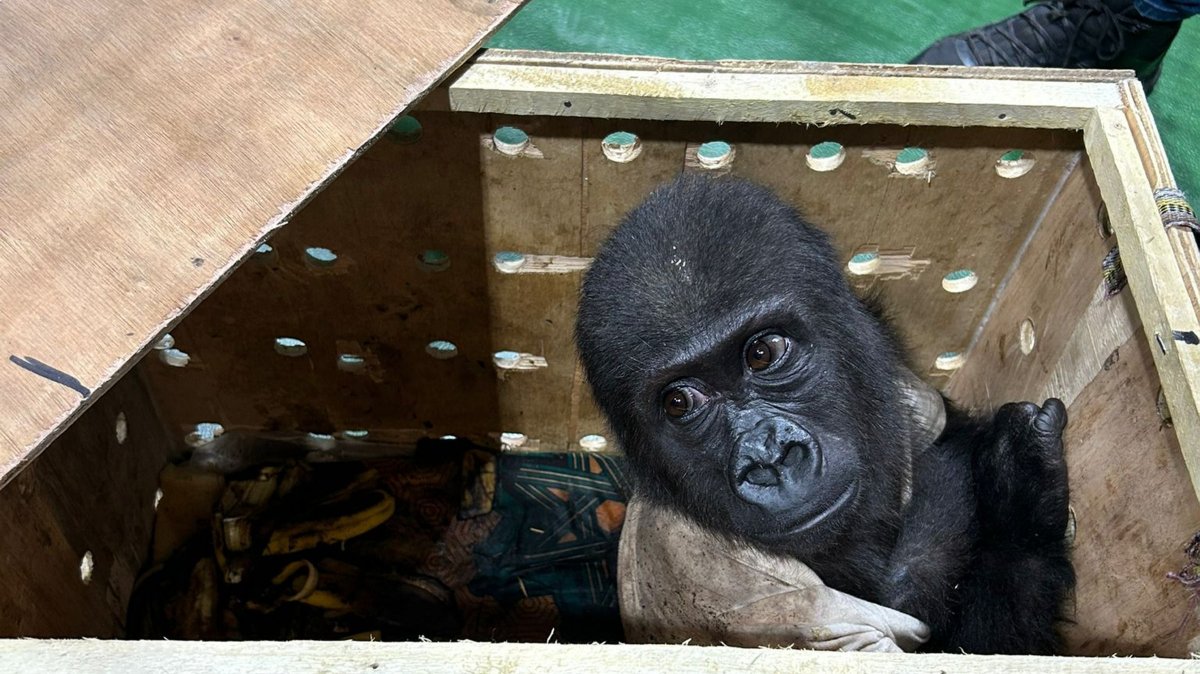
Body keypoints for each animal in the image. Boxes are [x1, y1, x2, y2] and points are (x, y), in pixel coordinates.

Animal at [576, 172, 1075, 652]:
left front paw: (1015, 480)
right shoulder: (764, 599)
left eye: (763, 353)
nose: (769, 457)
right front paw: (1020, 505)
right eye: (679, 402)